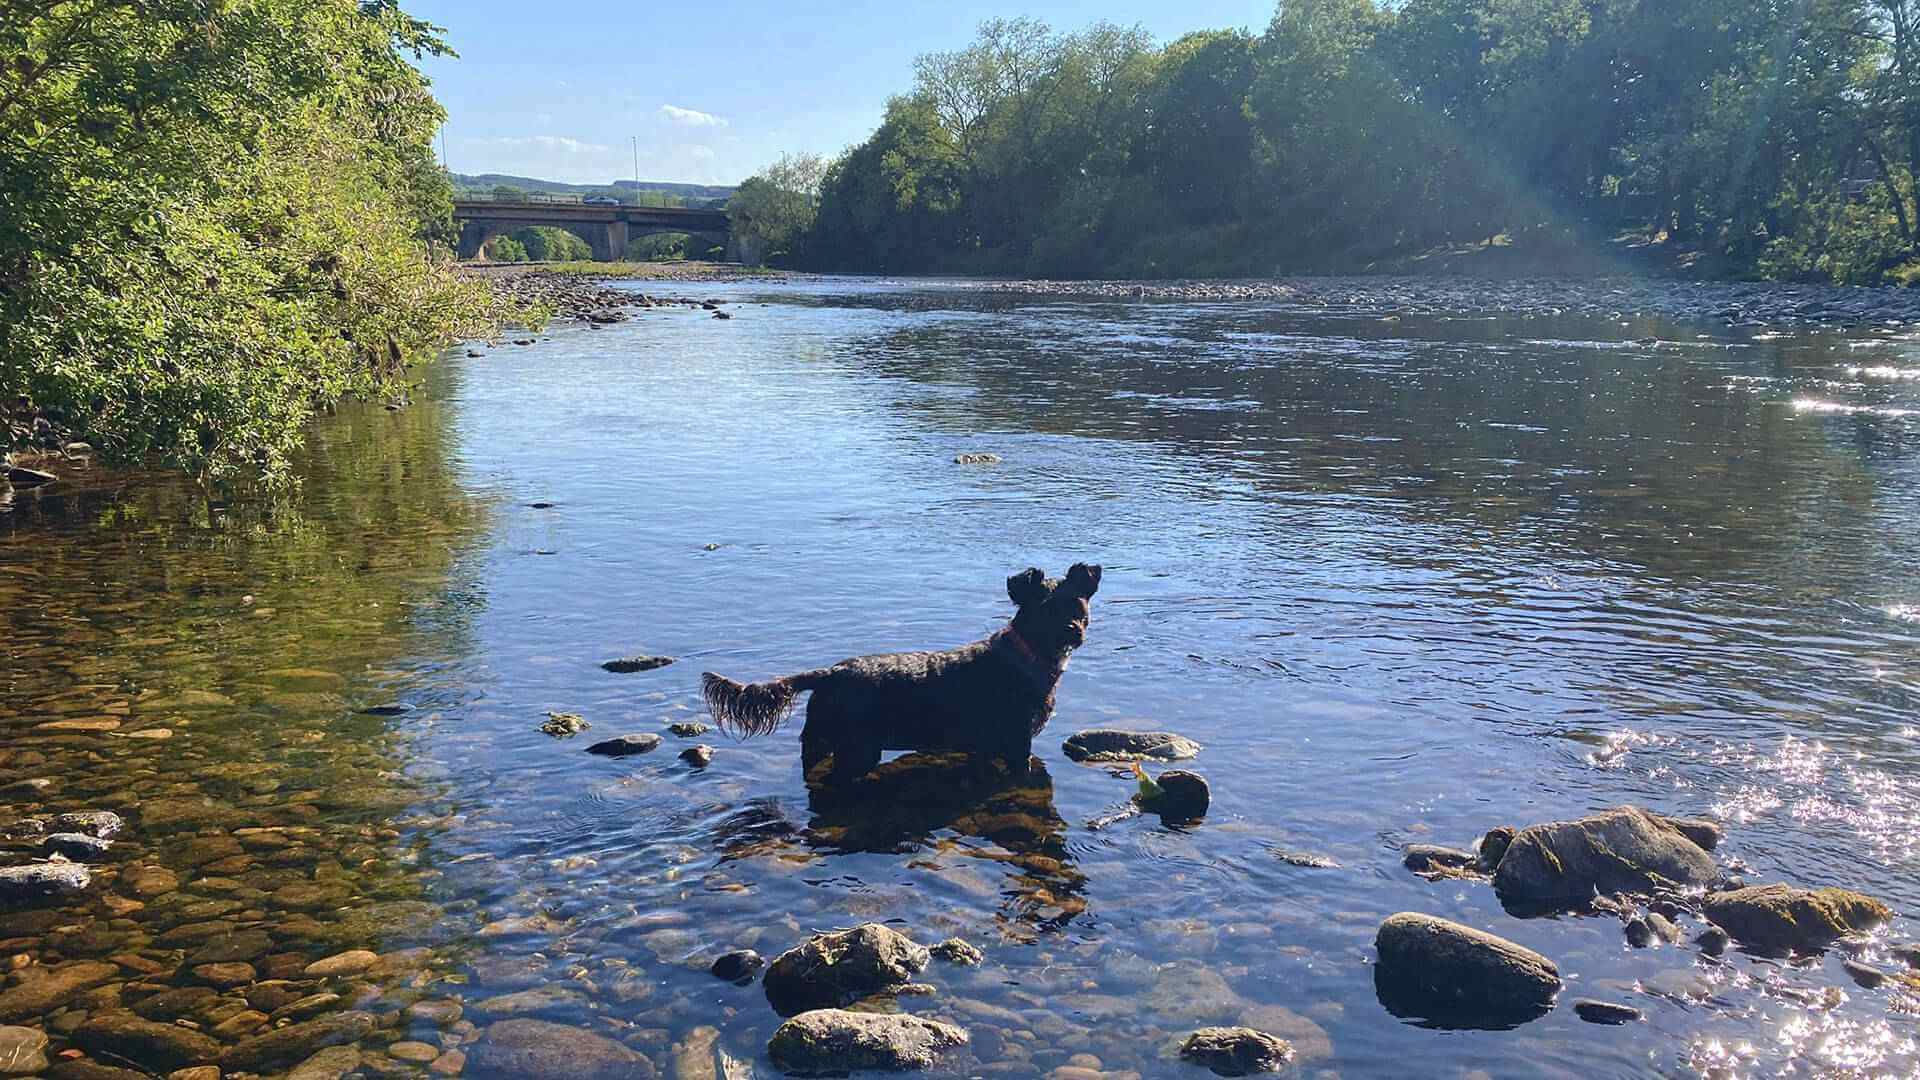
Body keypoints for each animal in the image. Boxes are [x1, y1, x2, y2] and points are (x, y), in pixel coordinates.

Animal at [706, 564, 1105, 780]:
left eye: (1077, 604)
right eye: (1044, 609)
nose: (1073, 631)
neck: (1026, 657)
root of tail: (829, 673)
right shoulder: (1017, 743)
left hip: (819, 739)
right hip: (857, 745)